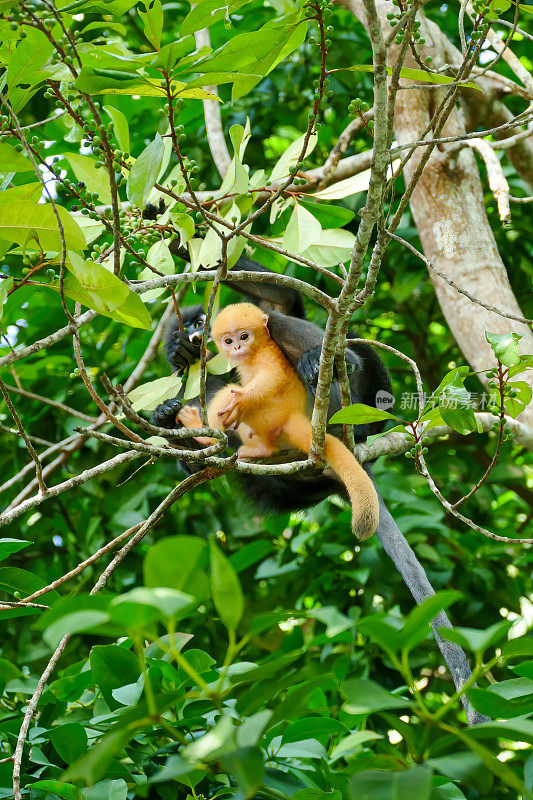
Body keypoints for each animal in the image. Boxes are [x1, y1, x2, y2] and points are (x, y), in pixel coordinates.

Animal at [152, 258, 392, 512]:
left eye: (199, 323)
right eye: (184, 329)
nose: (195, 336)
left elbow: (280, 298)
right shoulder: (190, 380)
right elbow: (200, 464)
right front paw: (166, 409)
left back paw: (331, 363)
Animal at [179, 304, 378, 540]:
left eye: (244, 336)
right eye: (228, 340)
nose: (237, 346)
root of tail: (293, 417)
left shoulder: (269, 348)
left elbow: (273, 376)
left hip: (270, 415)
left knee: (232, 393)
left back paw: (204, 435)